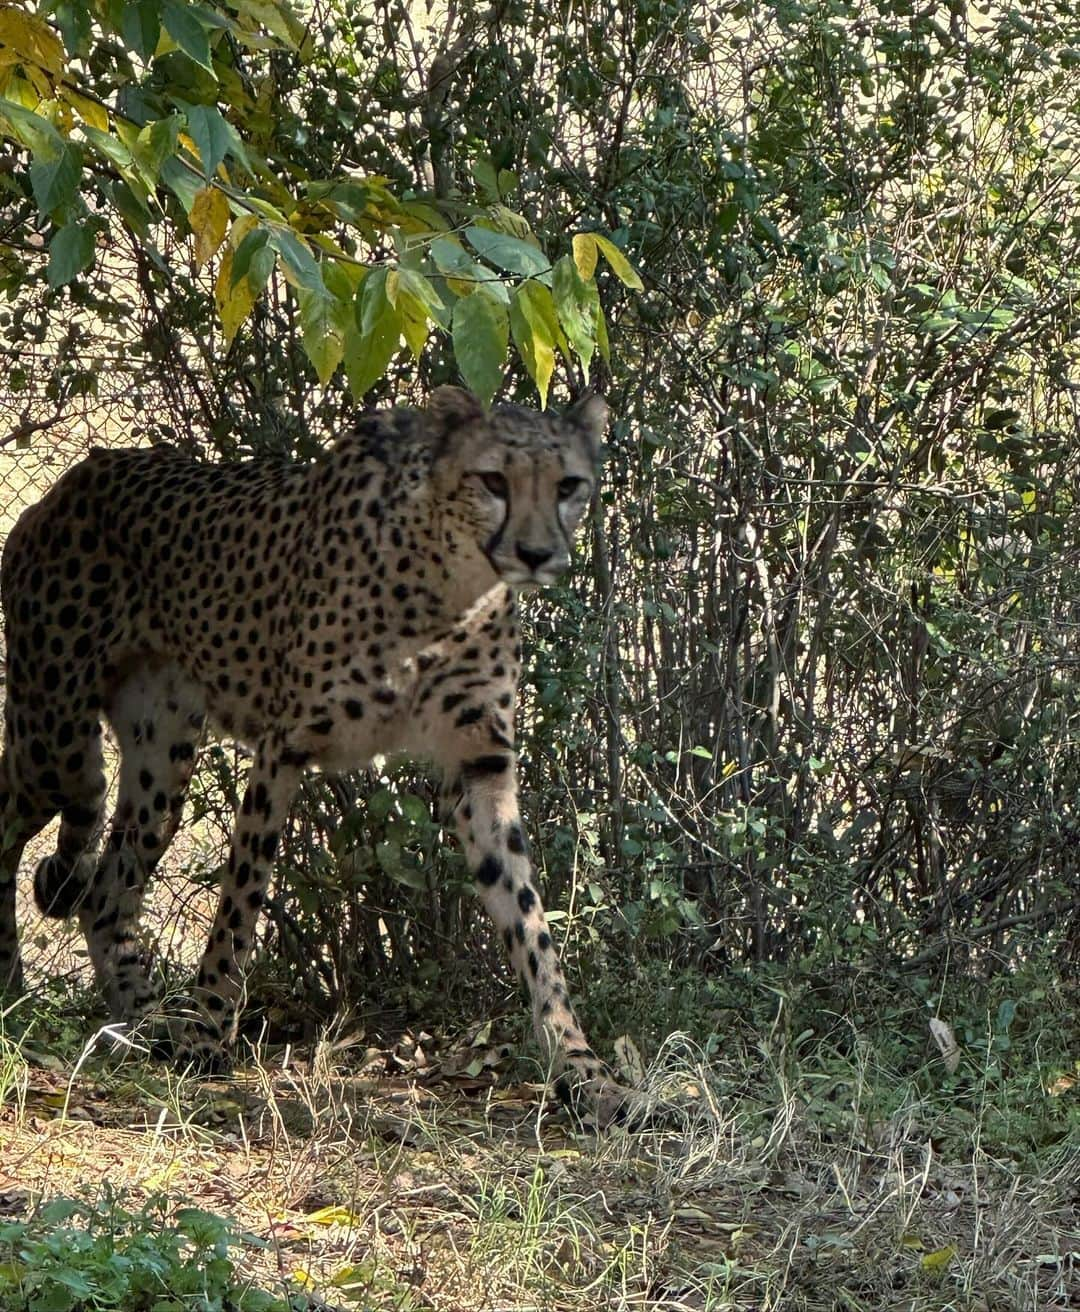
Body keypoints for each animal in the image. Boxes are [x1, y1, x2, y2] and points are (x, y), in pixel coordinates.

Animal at [0, 383, 622, 1112]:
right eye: (494, 480)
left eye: (568, 485)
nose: (534, 553)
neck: (452, 586)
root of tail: (79, 475)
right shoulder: (284, 747)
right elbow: (241, 903)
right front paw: (207, 1033)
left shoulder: (481, 767)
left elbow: (530, 924)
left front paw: (582, 1068)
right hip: (57, 741)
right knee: (13, 821)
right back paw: (14, 987)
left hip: (159, 763)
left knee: (105, 893)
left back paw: (142, 1020)